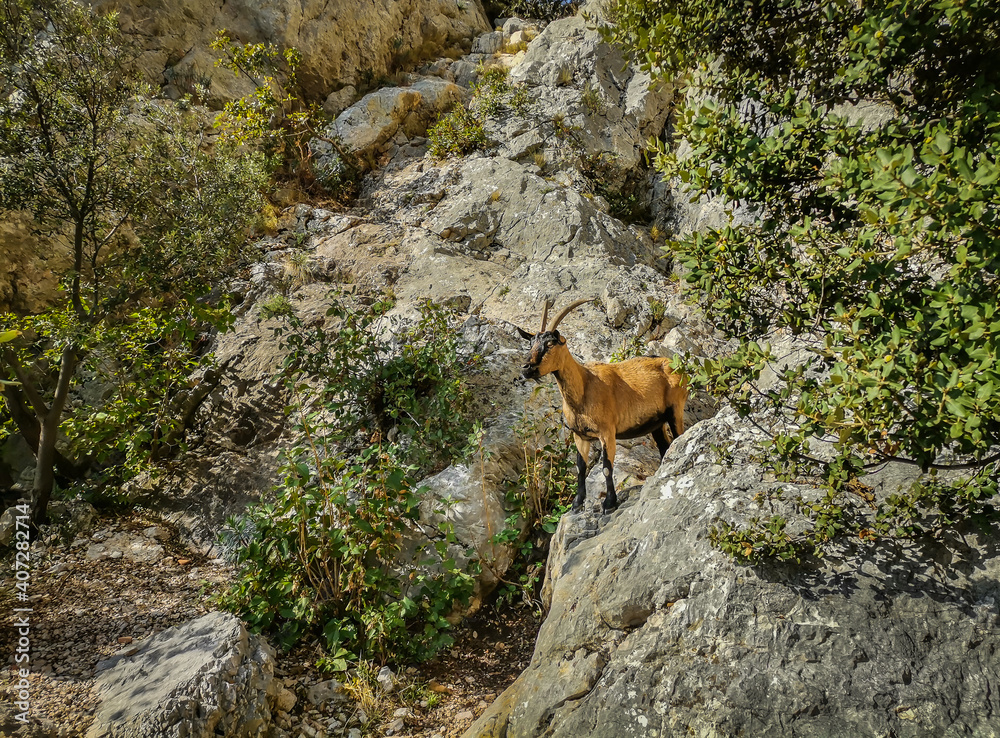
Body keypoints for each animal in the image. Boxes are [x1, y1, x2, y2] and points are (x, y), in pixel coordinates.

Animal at [519, 298, 688, 513]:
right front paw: (577, 503)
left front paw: (609, 503)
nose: (525, 367)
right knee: (664, 446)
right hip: (655, 422)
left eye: (549, 344)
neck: (584, 388)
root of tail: (679, 366)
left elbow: (607, 467)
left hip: (676, 409)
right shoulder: (580, 435)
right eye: (531, 343)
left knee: (678, 438)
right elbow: (580, 467)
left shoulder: (607, 432)